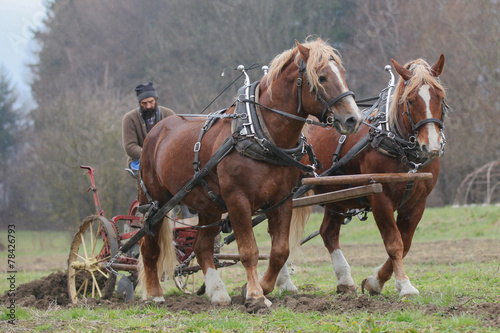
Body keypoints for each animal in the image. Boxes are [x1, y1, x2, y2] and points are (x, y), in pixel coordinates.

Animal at [139, 37, 362, 304]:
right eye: (322, 77)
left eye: (343, 73)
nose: (353, 119)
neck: (261, 135)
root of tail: (157, 129)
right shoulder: (238, 201)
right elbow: (249, 250)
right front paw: (256, 294)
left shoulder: (282, 201)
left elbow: (279, 250)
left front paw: (261, 287)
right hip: (156, 201)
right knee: (148, 246)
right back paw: (154, 294)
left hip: (208, 206)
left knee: (202, 247)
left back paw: (218, 292)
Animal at [290, 53, 450, 296]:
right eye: (411, 100)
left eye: (440, 97)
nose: (430, 146)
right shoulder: (380, 199)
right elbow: (394, 243)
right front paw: (404, 285)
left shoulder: (417, 202)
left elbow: (406, 243)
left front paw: (376, 281)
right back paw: (283, 283)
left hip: (337, 196)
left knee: (328, 232)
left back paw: (344, 280)